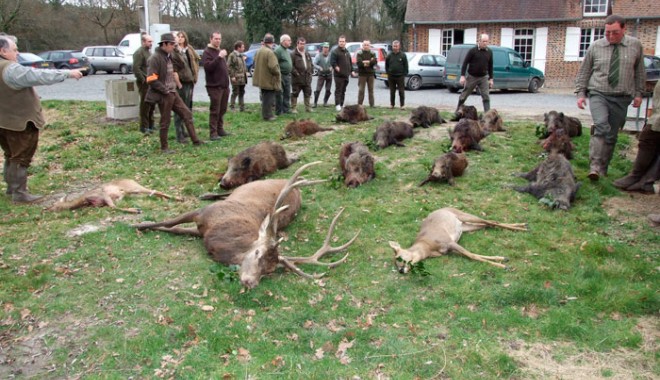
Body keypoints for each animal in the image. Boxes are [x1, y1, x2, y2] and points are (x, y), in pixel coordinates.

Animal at [46, 179, 182, 214]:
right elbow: (113, 206)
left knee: (153, 190)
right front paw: (135, 209)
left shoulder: (103, 194)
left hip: (132, 188)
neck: (85, 200)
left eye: (54, 205)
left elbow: (113, 207)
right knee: (152, 193)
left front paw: (136, 210)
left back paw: (179, 198)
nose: (46, 209)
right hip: (133, 194)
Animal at [133, 161, 358, 288]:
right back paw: (205, 193)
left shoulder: (201, 229)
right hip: (249, 185)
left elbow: (175, 228)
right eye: (258, 253)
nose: (250, 282)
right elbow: (170, 222)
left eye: (270, 270)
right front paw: (138, 224)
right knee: (228, 190)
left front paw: (145, 224)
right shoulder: (203, 213)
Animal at [392, 206, 524, 272]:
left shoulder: (449, 242)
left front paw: (503, 265)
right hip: (465, 227)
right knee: (489, 224)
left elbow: (472, 255)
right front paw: (503, 259)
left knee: (489, 221)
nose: (401, 271)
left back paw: (522, 227)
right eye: (396, 265)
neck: (427, 246)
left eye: (400, 258)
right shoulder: (450, 249)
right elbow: (471, 254)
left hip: (463, 215)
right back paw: (521, 226)